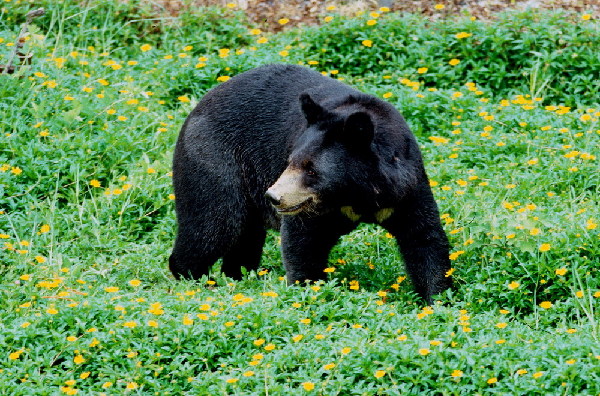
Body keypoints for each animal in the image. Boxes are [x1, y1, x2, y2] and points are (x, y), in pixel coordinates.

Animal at [169, 63, 450, 302]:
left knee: (244, 237)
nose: (273, 197)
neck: (356, 195)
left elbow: (423, 237)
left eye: (312, 170)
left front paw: (437, 298)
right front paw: (308, 289)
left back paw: (237, 277)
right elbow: (303, 241)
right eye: (290, 161)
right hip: (214, 158)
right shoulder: (310, 206)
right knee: (215, 223)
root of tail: (197, 107)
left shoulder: (406, 186)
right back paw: (196, 280)